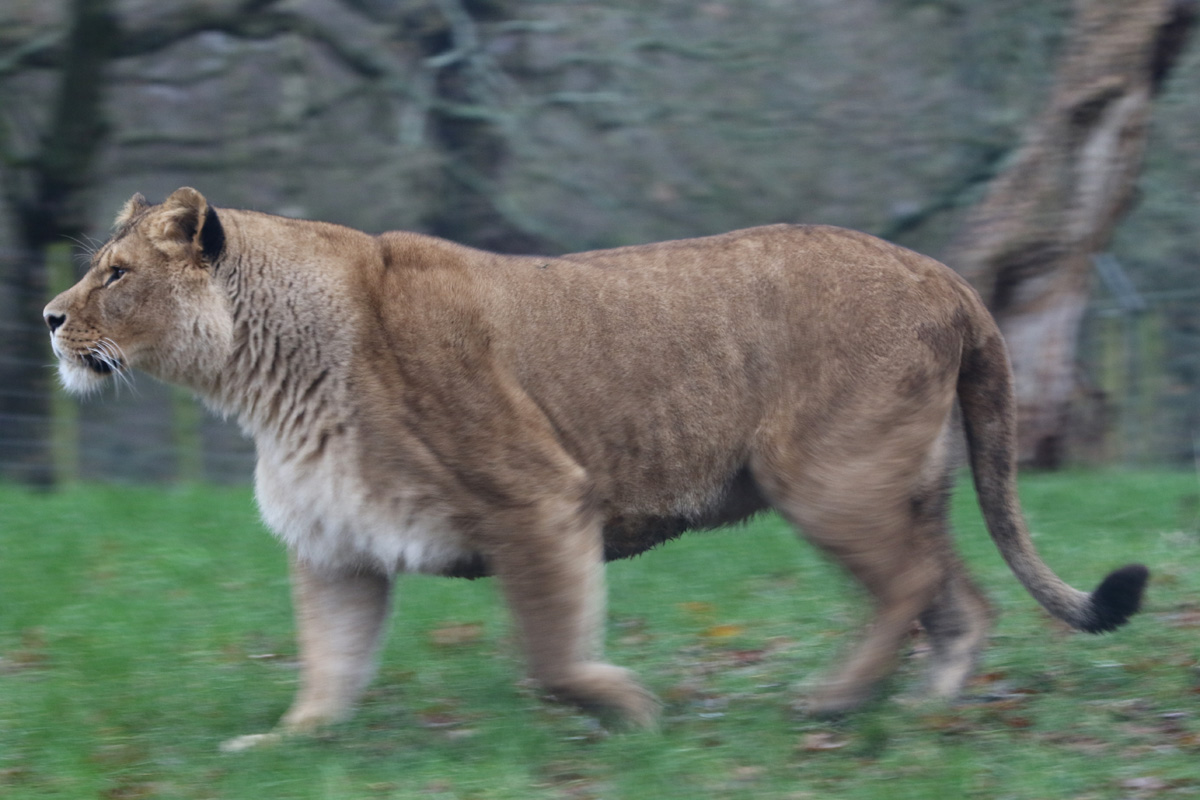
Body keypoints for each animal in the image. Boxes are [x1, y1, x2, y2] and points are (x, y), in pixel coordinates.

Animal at [44, 188, 1147, 749]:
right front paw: (286, 744)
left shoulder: (537, 496)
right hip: (901, 481)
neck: (267, 379)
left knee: (915, 583)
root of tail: (945, 275)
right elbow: (330, 660)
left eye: (116, 273)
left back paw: (833, 701)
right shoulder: (338, 545)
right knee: (962, 595)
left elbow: (549, 651)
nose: (51, 317)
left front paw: (627, 710)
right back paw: (919, 708)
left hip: (833, 477)